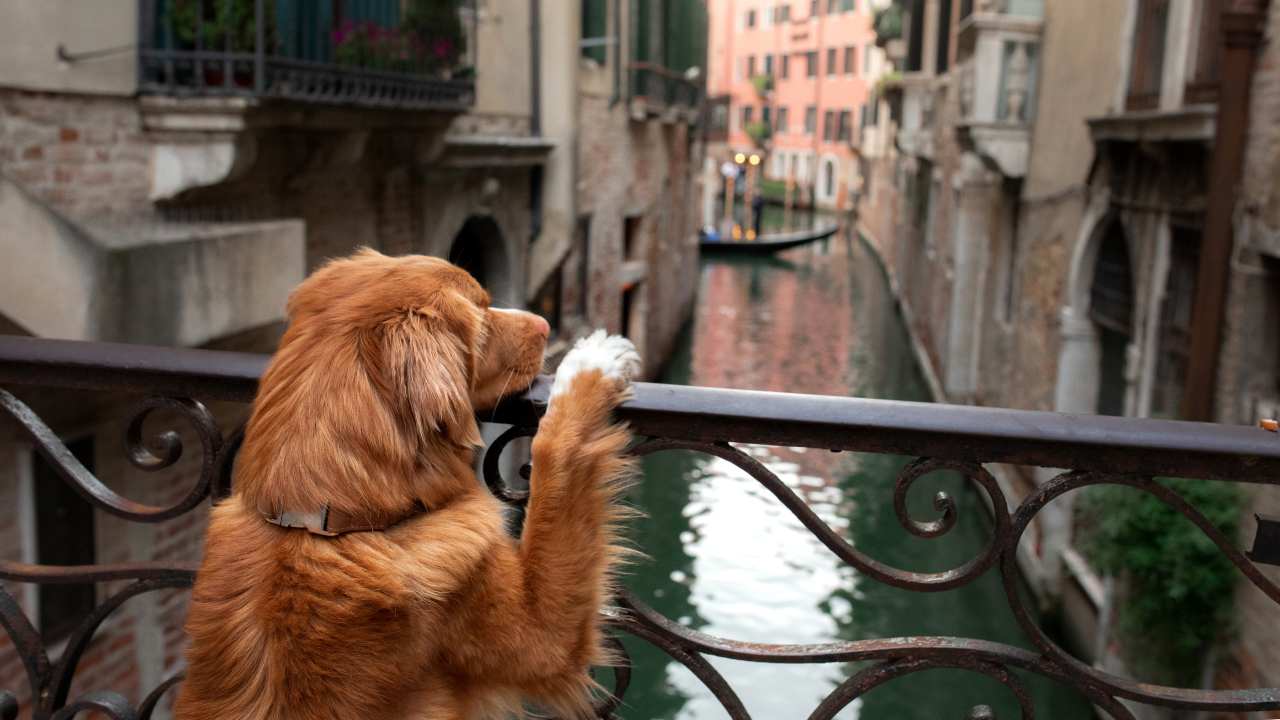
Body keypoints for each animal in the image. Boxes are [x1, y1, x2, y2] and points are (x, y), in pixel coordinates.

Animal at [172, 249, 640, 712]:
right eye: (481, 312)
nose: (544, 324)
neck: (327, 521)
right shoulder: (544, 637)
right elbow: (554, 457)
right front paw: (592, 365)